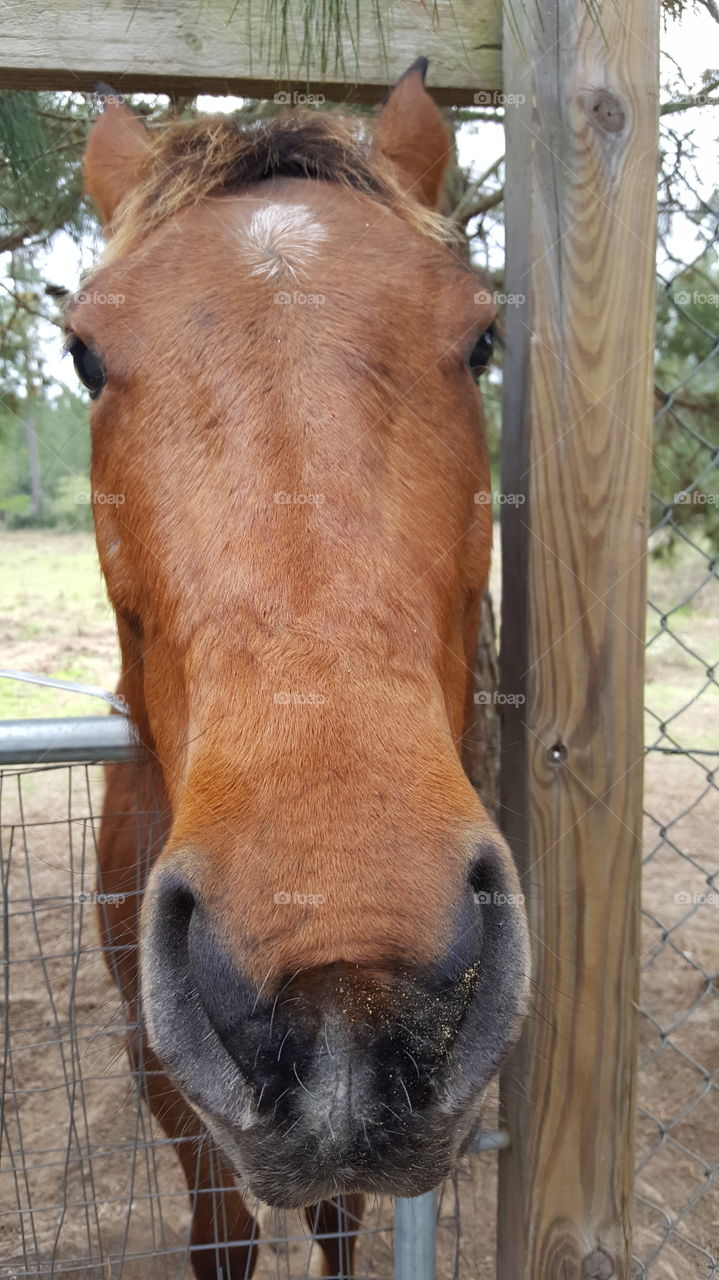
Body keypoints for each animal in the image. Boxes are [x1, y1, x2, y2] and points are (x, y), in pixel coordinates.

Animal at [69, 60, 530, 1278]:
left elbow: (338, 1218)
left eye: (481, 340)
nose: (340, 977)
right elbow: (222, 1231)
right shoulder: (164, 1082)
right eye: (83, 355)